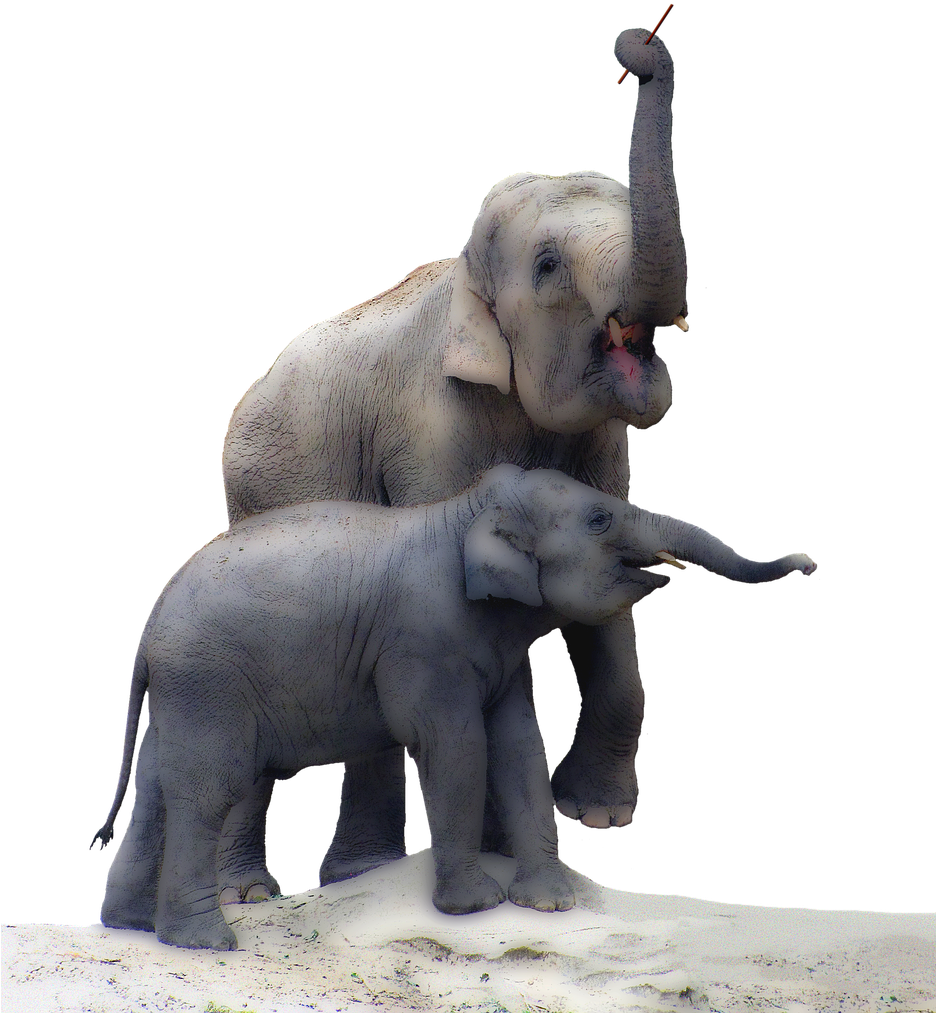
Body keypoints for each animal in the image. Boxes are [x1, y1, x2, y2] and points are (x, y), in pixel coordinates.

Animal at [92, 465, 815, 950]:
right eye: (599, 519)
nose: (807, 563)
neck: (462, 508)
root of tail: (148, 628)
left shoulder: (499, 645)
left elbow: (520, 744)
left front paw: (550, 907)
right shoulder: (424, 641)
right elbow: (457, 746)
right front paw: (474, 908)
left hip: (182, 695)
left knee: (159, 787)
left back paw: (129, 925)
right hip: (209, 681)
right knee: (209, 789)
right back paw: (207, 942)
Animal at [212, 27, 688, 900]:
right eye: (547, 266)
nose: (636, 49)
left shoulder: (604, 446)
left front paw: (593, 819)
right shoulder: (430, 430)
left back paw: (354, 873)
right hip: (254, 499)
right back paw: (260, 892)